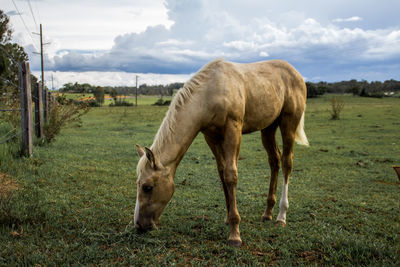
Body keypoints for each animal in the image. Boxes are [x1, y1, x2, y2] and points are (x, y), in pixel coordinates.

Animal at [135, 58, 310, 247]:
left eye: (147, 187)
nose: (139, 225)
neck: (210, 92)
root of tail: (295, 73)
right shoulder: (211, 137)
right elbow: (222, 173)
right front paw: (228, 219)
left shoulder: (233, 130)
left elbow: (231, 174)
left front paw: (235, 234)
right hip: (268, 128)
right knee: (274, 161)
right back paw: (267, 213)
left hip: (288, 124)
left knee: (286, 162)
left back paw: (281, 216)